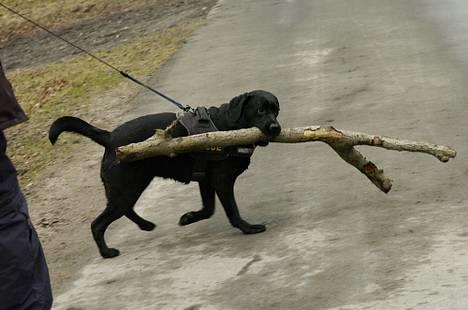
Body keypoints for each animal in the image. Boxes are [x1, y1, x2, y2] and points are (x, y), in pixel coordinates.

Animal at [49, 90, 280, 260]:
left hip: (130, 187)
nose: (276, 128)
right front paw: (247, 228)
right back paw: (107, 252)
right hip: (127, 188)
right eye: (260, 110)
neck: (230, 126)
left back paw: (145, 225)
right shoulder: (221, 181)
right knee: (98, 223)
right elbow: (231, 210)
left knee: (124, 210)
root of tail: (109, 137)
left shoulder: (206, 180)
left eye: (276, 110)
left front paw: (189, 217)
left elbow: (208, 209)